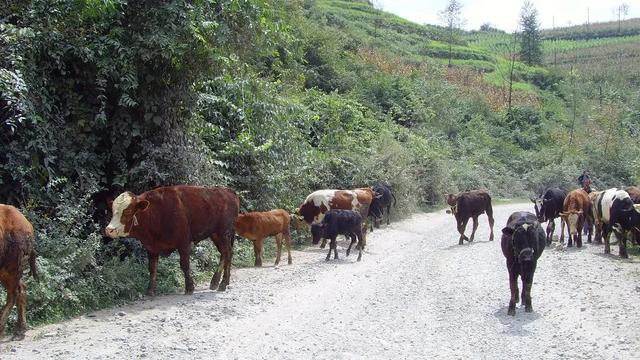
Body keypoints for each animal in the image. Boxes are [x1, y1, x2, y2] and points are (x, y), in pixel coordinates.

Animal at [105, 186, 240, 296]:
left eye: (127, 211)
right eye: (112, 210)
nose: (109, 229)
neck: (156, 213)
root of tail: (228, 191)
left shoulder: (184, 242)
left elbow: (185, 264)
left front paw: (189, 287)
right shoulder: (151, 246)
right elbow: (152, 268)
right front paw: (150, 290)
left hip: (224, 232)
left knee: (228, 253)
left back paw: (223, 283)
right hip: (215, 234)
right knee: (224, 253)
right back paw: (215, 281)